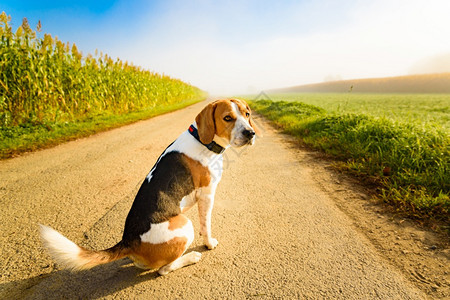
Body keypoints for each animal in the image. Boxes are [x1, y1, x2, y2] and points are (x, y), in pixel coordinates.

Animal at [42, 98, 260, 274]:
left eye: (247, 114)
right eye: (227, 118)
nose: (250, 133)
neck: (202, 140)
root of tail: (129, 241)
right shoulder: (207, 195)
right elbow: (206, 226)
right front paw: (209, 244)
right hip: (184, 225)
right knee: (164, 269)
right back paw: (190, 258)